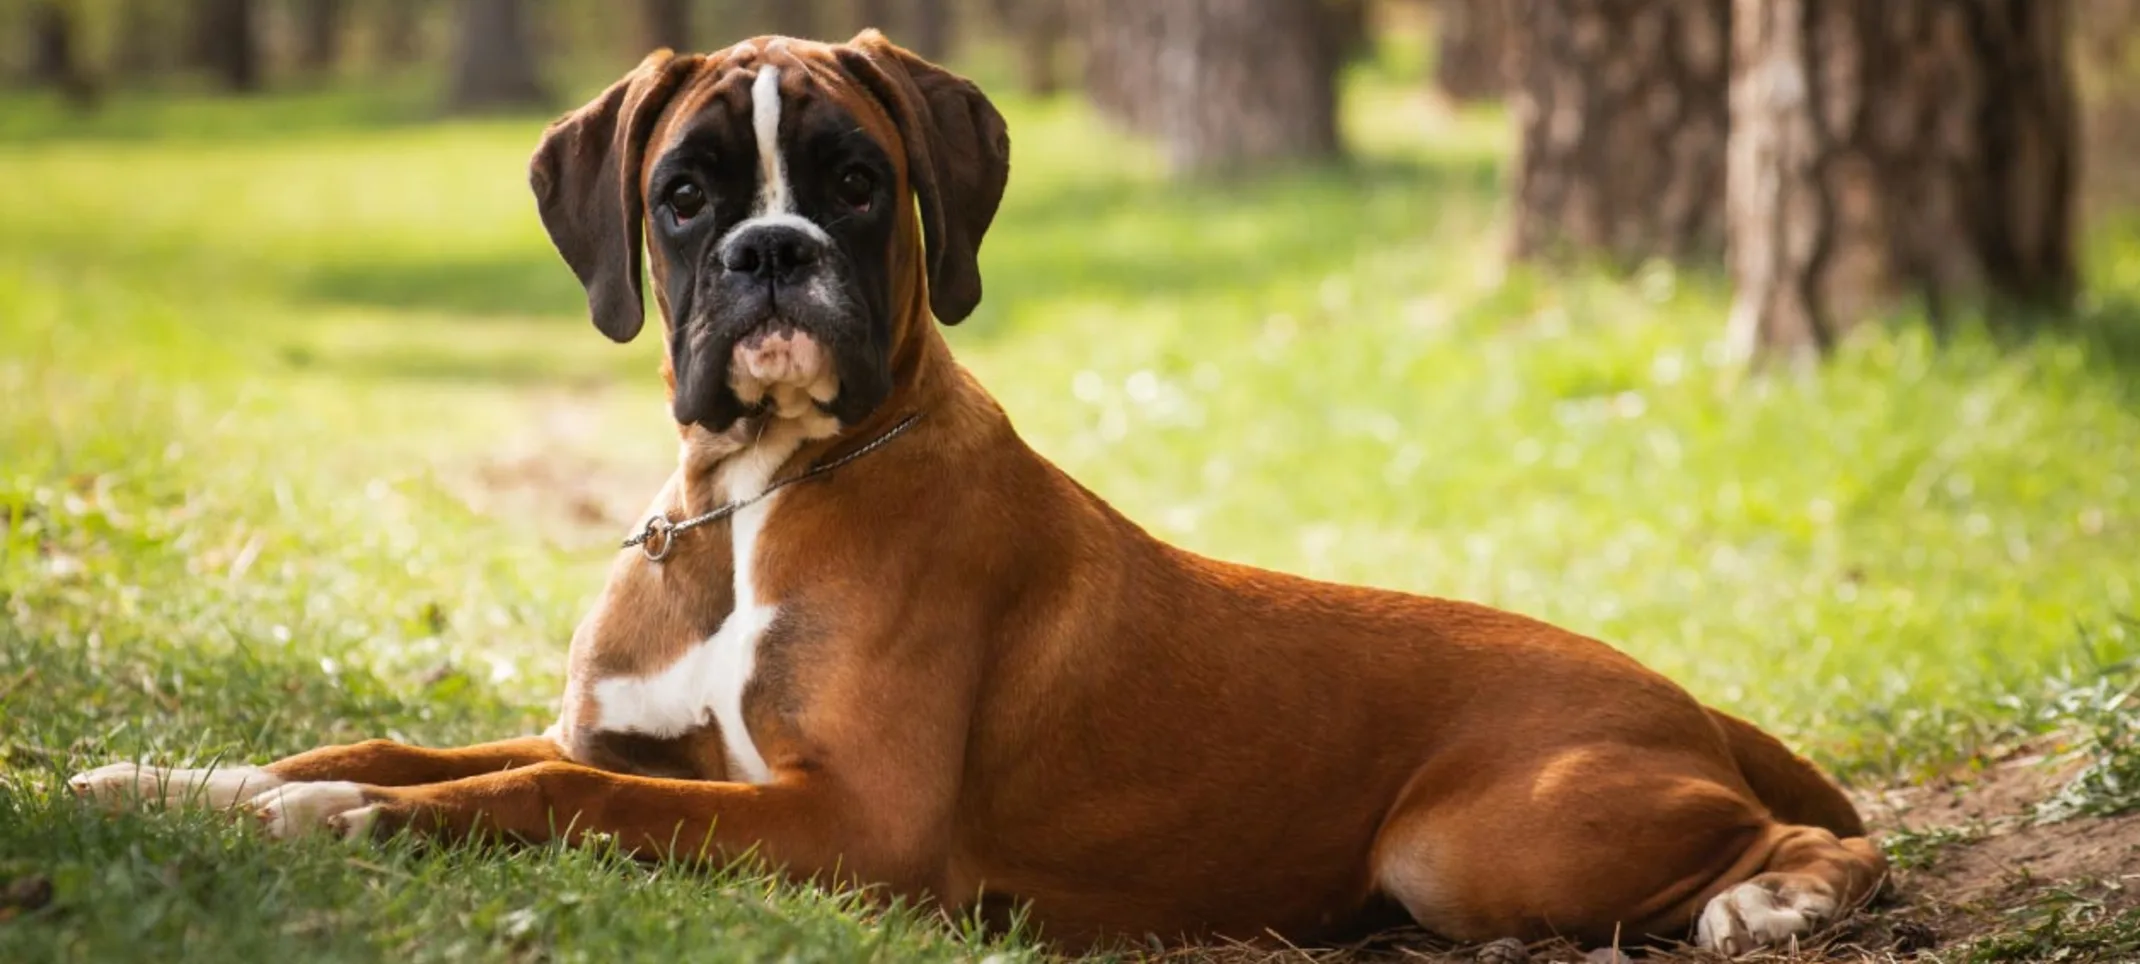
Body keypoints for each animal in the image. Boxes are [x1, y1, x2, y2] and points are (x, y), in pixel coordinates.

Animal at [75, 31, 1891, 955]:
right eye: (684, 197)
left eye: (858, 182)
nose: (771, 252)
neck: (750, 503)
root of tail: (1687, 698)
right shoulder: (630, 737)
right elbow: (400, 745)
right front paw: (179, 780)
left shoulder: (846, 822)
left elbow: (537, 797)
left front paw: (336, 821)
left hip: (1475, 837)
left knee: (1822, 836)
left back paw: (1779, 891)